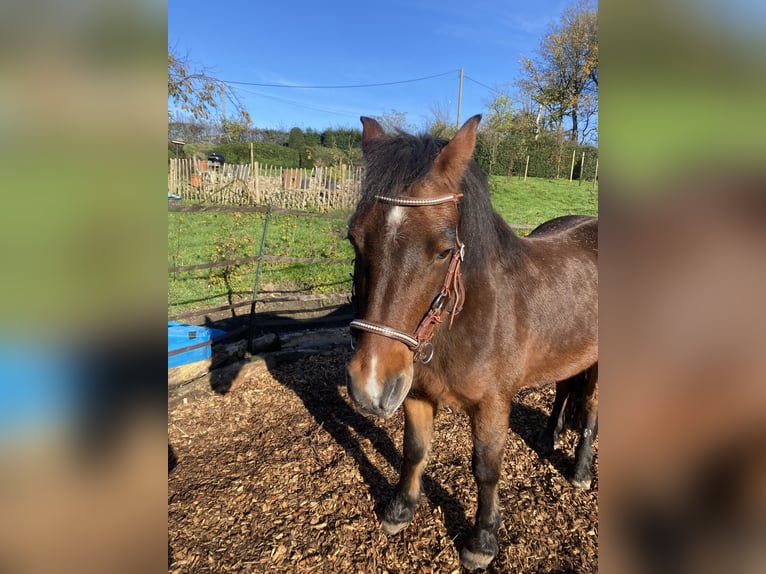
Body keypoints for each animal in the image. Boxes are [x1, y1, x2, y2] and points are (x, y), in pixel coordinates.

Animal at [348, 113, 600, 572]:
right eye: (354, 239)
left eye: (444, 250)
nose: (369, 386)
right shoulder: (416, 394)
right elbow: (414, 451)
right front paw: (400, 511)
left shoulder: (492, 405)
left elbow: (486, 469)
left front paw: (482, 541)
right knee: (562, 389)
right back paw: (549, 438)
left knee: (590, 408)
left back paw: (580, 472)